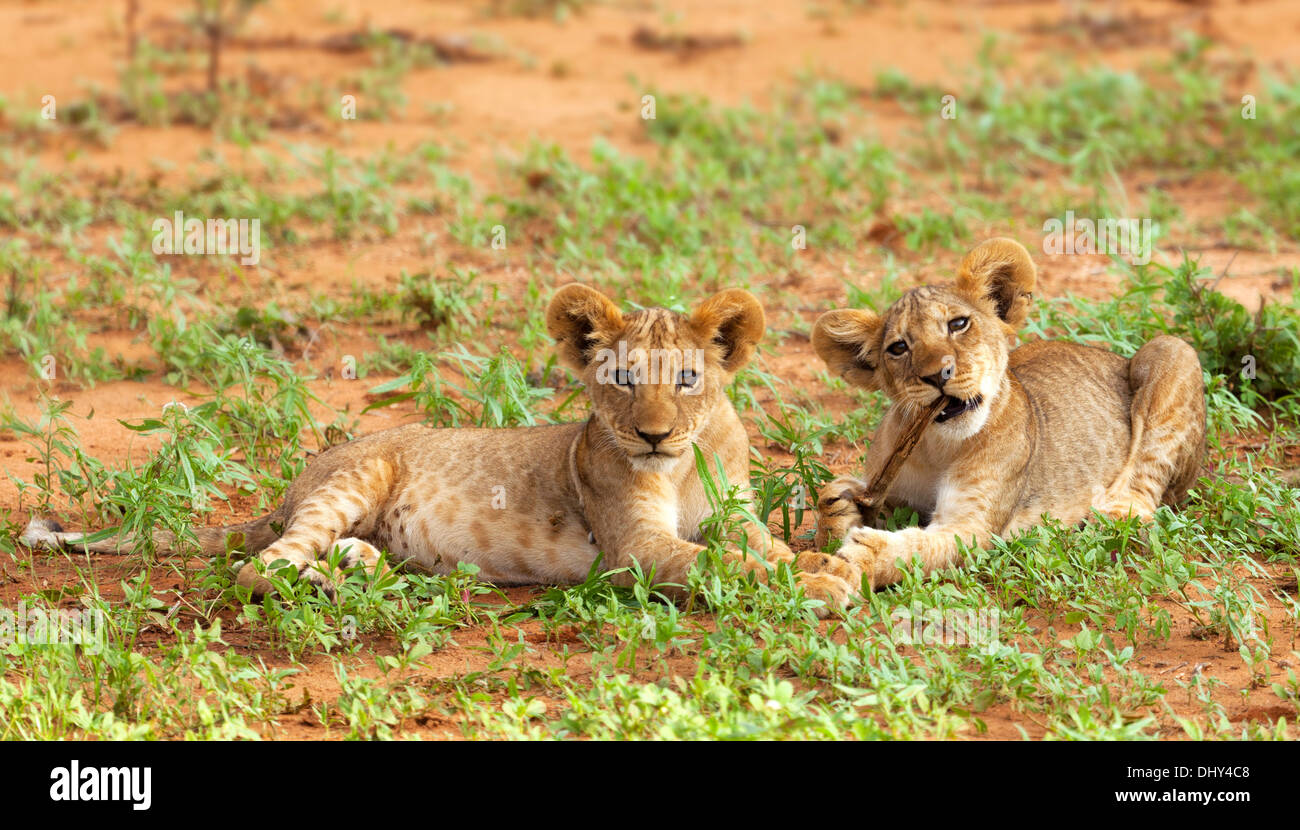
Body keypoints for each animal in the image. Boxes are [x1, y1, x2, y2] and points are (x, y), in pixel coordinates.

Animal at [23, 284, 827, 606]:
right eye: (623, 379)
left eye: (687, 379)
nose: (653, 433)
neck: (686, 462)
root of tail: (289, 490)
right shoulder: (635, 548)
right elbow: (723, 563)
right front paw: (825, 583)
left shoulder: (737, 514)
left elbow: (761, 547)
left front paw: (819, 561)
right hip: (355, 476)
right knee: (259, 567)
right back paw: (326, 584)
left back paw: (365, 568)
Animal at [796, 238, 1207, 610]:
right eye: (898, 348)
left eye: (958, 324)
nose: (938, 375)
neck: (938, 445)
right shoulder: (890, 491)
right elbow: (838, 502)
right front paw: (836, 509)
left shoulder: (976, 528)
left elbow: (917, 549)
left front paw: (855, 561)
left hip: (1172, 351)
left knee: (1146, 482)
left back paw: (1114, 513)